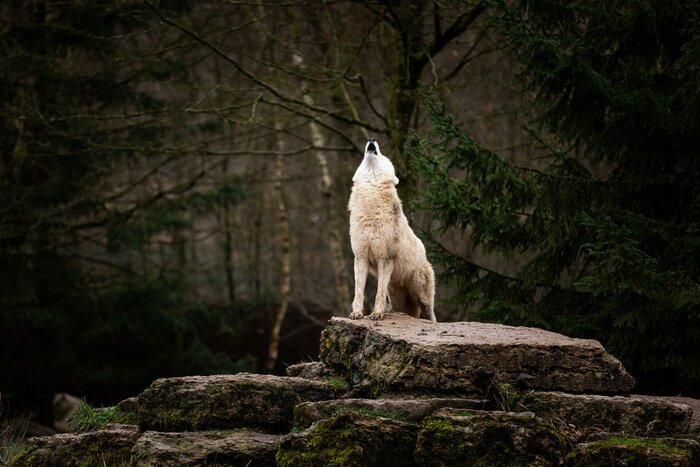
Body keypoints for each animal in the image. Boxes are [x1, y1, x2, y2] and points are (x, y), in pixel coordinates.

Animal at [347, 138, 436, 321]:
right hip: (399, 300)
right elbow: (358, 291)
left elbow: (379, 293)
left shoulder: (385, 258)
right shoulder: (360, 257)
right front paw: (357, 313)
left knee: (432, 316)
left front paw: (377, 314)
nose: (372, 139)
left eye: (382, 155)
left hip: (422, 296)